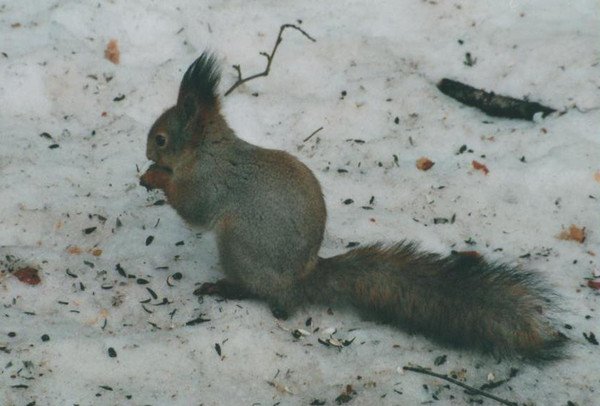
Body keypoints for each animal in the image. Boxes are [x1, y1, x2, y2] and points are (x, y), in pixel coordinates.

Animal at [139, 52, 568, 360]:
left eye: (161, 139)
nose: (146, 152)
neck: (206, 150)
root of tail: (301, 279)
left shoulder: (209, 183)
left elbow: (193, 209)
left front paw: (155, 177)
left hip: (239, 245)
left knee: (264, 294)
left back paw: (227, 288)